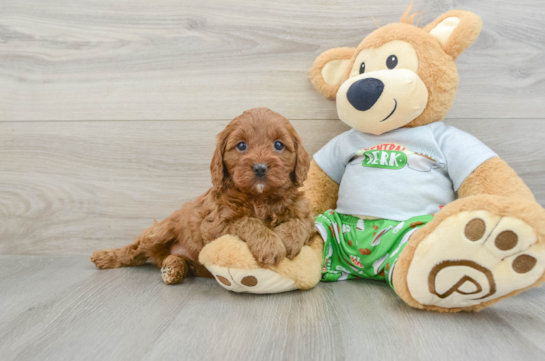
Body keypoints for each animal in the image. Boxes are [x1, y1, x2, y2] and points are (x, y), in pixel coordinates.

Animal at [90, 107, 314, 284]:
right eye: (241, 145)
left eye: (278, 145)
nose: (260, 168)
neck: (260, 198)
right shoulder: (214, 225)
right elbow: (246, 221)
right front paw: (270, 244)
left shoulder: (304, 211)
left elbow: (303, 222)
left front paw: (287, 239)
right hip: (159, 232)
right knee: (135, 251)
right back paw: (106, 257)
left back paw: (173, 268)